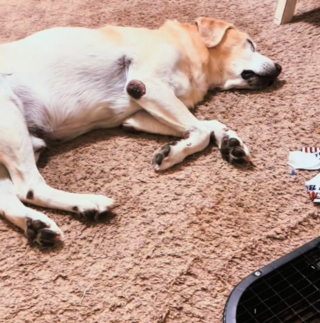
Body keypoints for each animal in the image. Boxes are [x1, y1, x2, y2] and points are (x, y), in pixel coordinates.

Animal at [0, 17, 280, 246]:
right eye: (250, 43)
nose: (278, 69)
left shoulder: (141, 111)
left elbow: (206, 124)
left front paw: (231, 142)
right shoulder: (147, 84)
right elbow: (200, 132)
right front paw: (172, 155)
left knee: (9, 199)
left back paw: (37, 225)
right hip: (10, 118)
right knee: (28, 187)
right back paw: (89, 203)